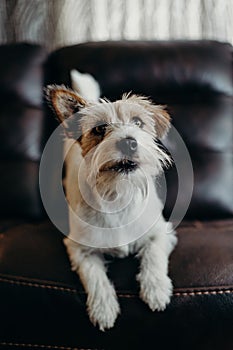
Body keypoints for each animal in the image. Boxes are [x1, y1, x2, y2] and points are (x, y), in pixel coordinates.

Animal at [45, 73, 177, 330]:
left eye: (138, 122)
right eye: (99, 129)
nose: (129, 142)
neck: (118, 194)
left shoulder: (161, 232)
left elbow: (153, 256)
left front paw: (156, 289)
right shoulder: (79, 249)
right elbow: (96, 278)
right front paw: (103, 309)